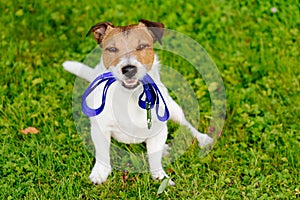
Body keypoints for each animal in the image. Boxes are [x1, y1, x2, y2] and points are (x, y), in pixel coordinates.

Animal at [63, 19, 213, 185]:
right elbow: (102, 153)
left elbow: (155, 159)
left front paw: (161, 178)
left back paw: (202, 139)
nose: (129, 69)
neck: (130, 96)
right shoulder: (100, 128)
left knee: (187, 125)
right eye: (112, 49)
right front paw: (100, 173)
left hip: (173, 109)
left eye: (142, 46)